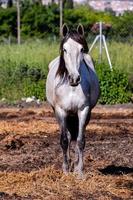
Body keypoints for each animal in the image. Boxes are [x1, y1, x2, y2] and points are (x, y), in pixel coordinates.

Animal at [46, 24, 99, 177]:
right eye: (65, 49)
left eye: (81, 49)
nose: (74, 78)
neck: (72, 88)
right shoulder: (61, 111)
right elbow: (64, 140)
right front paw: (65, 170)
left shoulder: (84, 111)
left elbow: (81, 140)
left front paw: (79, 171)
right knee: (69, 137)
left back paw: (74, 164)